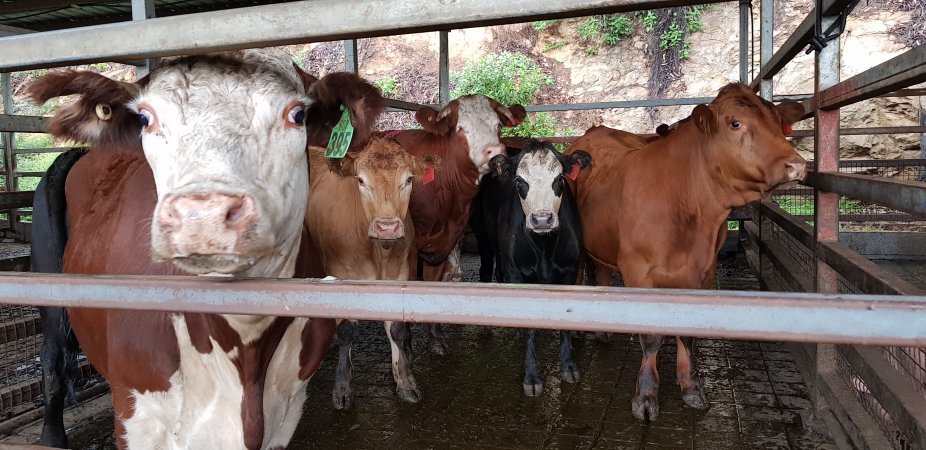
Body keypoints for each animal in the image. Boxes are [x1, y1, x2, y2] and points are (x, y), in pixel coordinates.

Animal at [29, 51, 378, 448]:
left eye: (297, 115)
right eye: (146, 118)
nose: (203, 215)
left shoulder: (287, 411)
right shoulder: (138, 417)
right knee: (52, 362)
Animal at [302, 139, 436, 410]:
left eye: (408, 179)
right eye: (361, 180)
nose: (387, 227)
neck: (378, 252)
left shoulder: (399, 274)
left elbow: (396, 329)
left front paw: (405, 381)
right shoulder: (339, 275)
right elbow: (346, 332)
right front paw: (342, 387)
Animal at [474, 142, 592, 398]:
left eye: (559, 178)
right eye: (519, 180)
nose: (542, 219)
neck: (544, 248)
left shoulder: (569, 271)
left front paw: (568, 367)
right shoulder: (517, 274)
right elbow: (529, 328)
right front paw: (532, 377)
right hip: (482, 237)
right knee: (486, 270)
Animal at [564, 81, 804, 422]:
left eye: (778, 122)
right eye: (735, 123)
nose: (797, 164)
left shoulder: (704, 271)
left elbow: (688, 332)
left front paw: (691, 387)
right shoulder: (638, 272)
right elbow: (651, 336)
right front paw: (646, 395)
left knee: (601, 276)